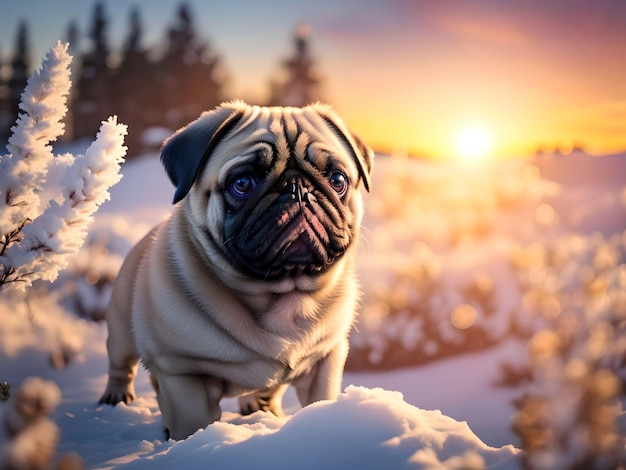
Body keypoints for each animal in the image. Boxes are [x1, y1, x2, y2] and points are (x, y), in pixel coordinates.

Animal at [97, 100, 370, 440]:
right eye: (242, 183)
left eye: (337, 180)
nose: (297, 189)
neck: (284, 294)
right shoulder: (182, 374)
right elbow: (192, 422)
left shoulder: (325, 360)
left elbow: (319, 400)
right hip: (122, 330)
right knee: (121, 365)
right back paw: (116, 397)